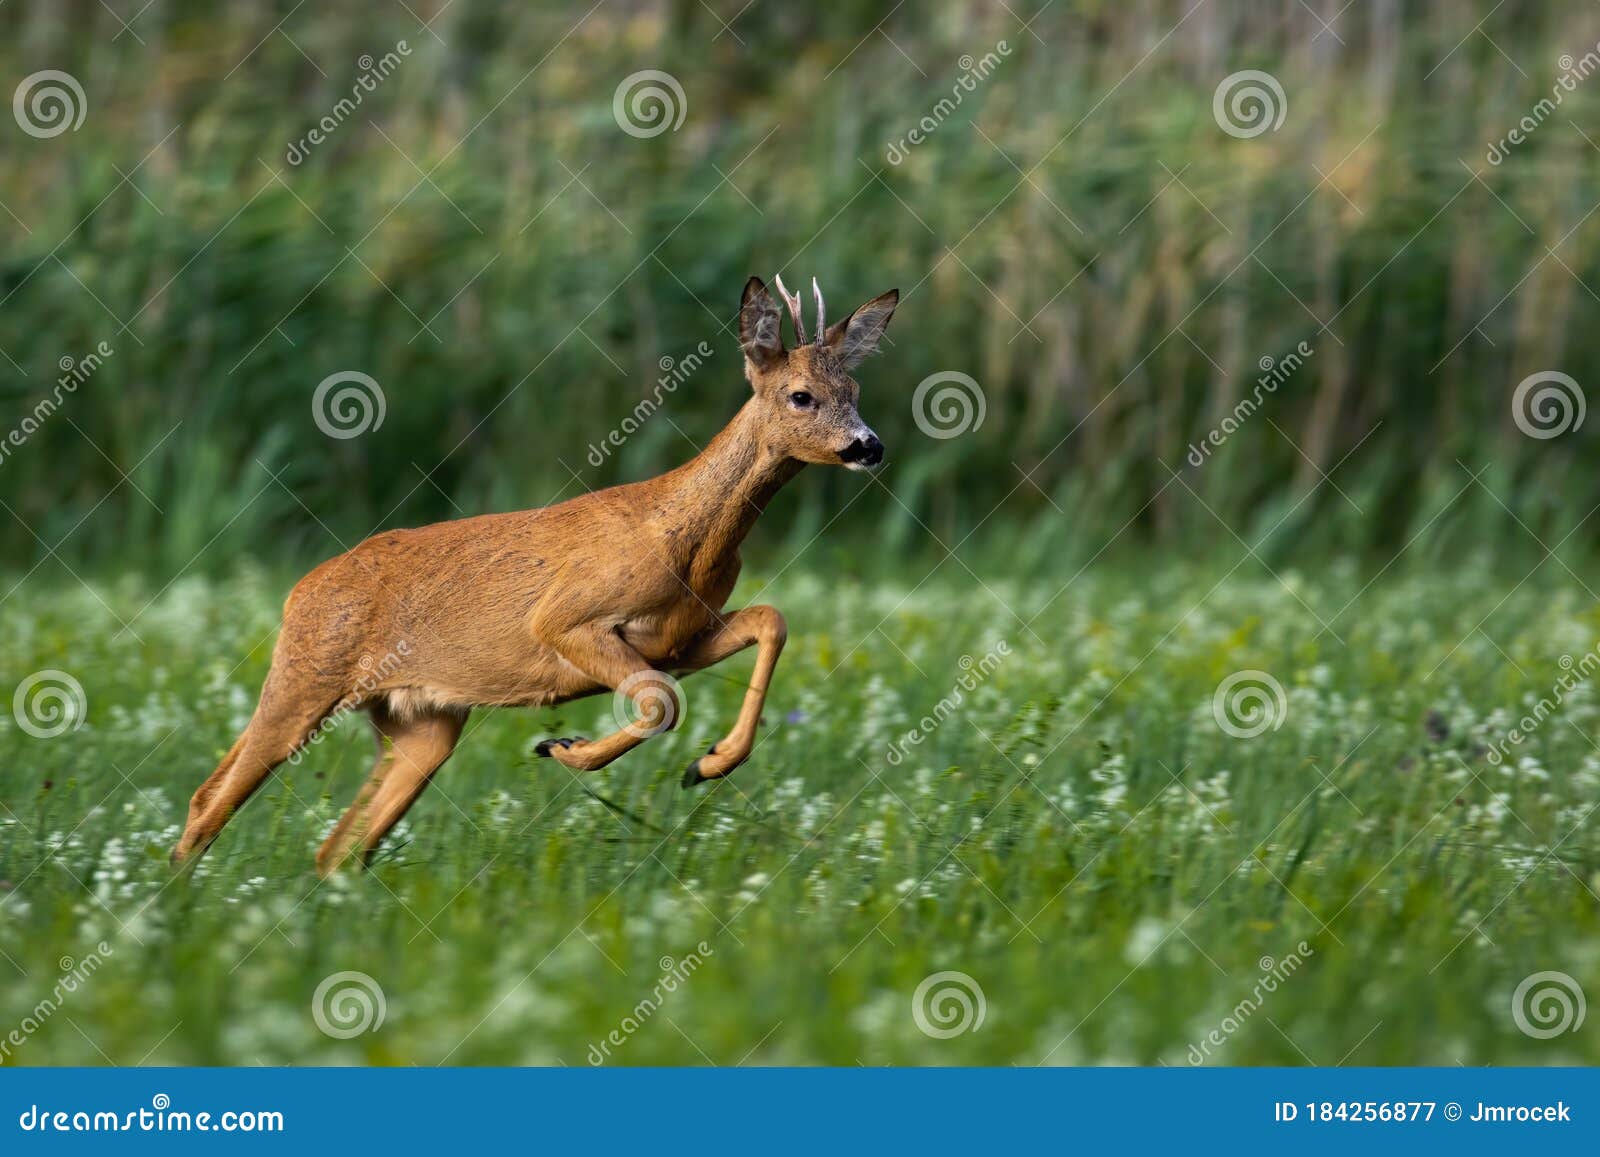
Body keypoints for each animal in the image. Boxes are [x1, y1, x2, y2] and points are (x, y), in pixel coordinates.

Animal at [178, 278, 902, 876]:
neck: (688, 538)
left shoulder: (680, 637)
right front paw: (564, 747)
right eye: (801, 395)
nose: (869, 446)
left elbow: (769, 621)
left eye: (856, 393)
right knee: (211, 794)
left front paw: (708, 763)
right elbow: (658, 702)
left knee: (338, 845)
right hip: (307, 674)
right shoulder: (565, 620)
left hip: (421, 722)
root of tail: (299, 591)